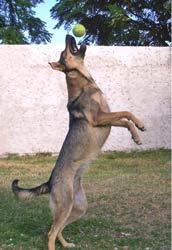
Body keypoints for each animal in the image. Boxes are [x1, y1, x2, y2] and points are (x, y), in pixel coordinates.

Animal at [11, 34, 145, 249]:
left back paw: (66, 244)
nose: (69, 35)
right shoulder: (99, 118)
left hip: (78, 207)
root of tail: (50, 181)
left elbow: (125, 119)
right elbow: (126, 113)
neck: (85, 84)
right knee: (50, 232)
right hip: (66, 205)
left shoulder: (106, 119)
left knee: (58, 229)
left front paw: (136, 134)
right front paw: (139, 128)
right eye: (64, 51)